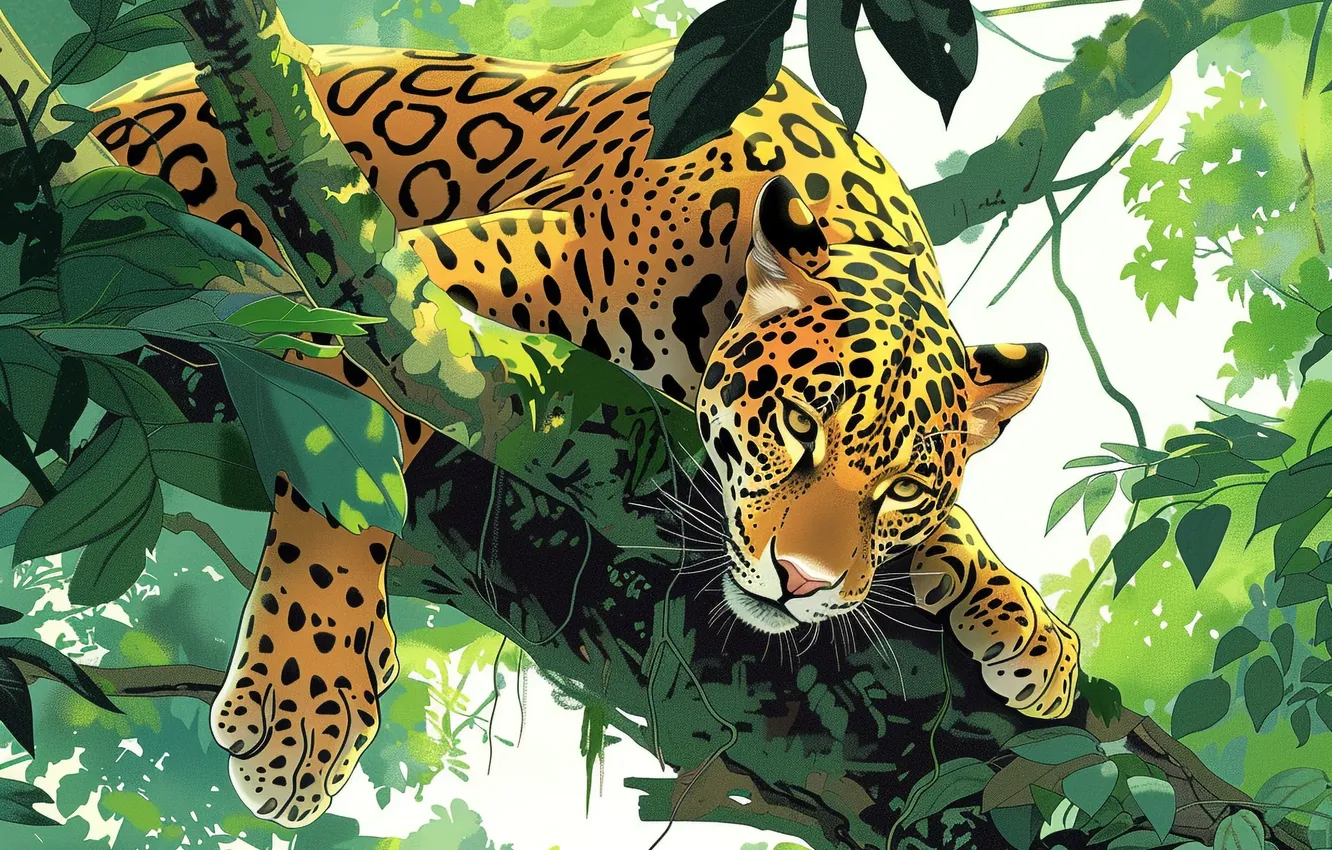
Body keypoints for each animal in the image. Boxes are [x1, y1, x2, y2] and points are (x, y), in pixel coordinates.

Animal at [94, 39, 1081, 827]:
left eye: (904, 487)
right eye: (800, 426)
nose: (801, 583)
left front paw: (1027, 625)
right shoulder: (390, 284)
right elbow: (350, 461)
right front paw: (303, 699)